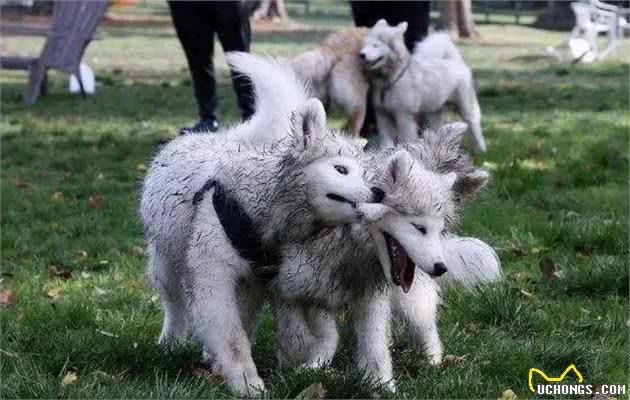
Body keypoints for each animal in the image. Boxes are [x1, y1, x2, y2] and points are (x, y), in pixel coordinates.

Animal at [141, 52, 382, 394]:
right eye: (340, 170)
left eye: (364, 174)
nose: (379, 192)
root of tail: (222, 137)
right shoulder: (214, 277)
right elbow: (232, 337)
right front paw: (247, 382)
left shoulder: (257, 281)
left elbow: (246, 328)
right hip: (167, 264)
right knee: (175, 305)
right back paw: (170, 341)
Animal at [360, 19, 488, 152]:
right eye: (364, 44)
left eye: (376, 45)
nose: (361, 55)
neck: (390, 80)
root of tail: (455, 60)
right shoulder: (382, 116)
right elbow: (385, 141)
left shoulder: (404, 116)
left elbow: (406, 139)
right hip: (434, 112)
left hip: (466, 106)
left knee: (475, 126)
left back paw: (482, 150)